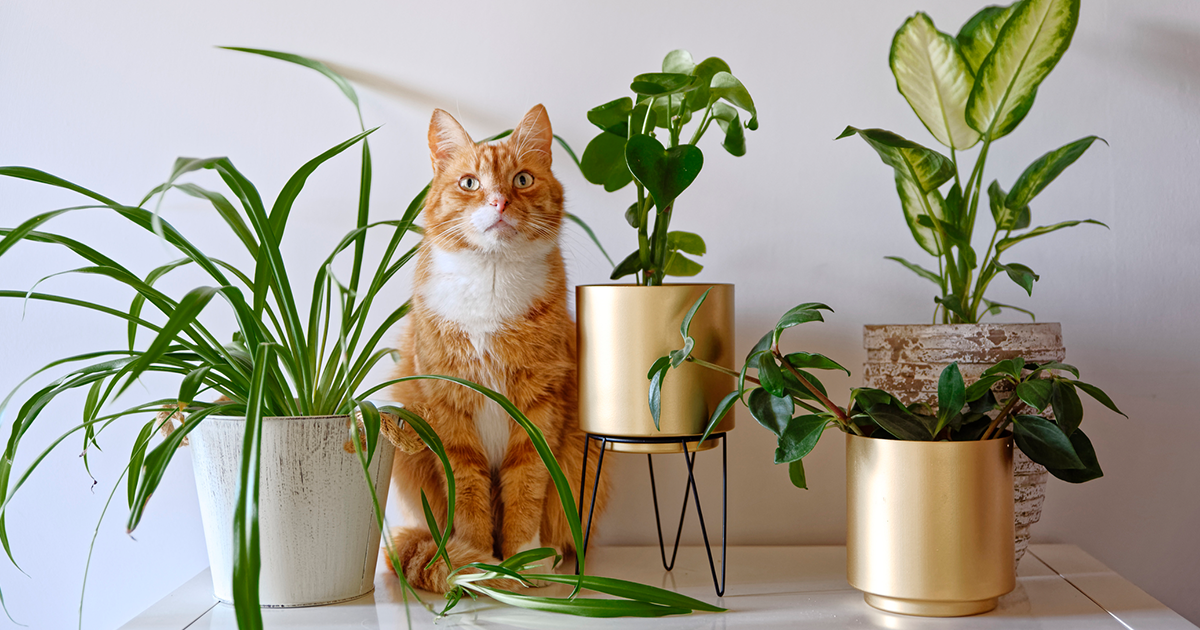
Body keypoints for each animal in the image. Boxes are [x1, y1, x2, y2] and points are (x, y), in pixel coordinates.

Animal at [386, 105, 609, 592]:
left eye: (522, 180)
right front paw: (476, 564)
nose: (499, 203)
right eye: (470, 183)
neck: (489, 282)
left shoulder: (538, 407)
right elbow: (467, 493)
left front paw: (524, 561)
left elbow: (526, 486)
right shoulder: (448, 407)